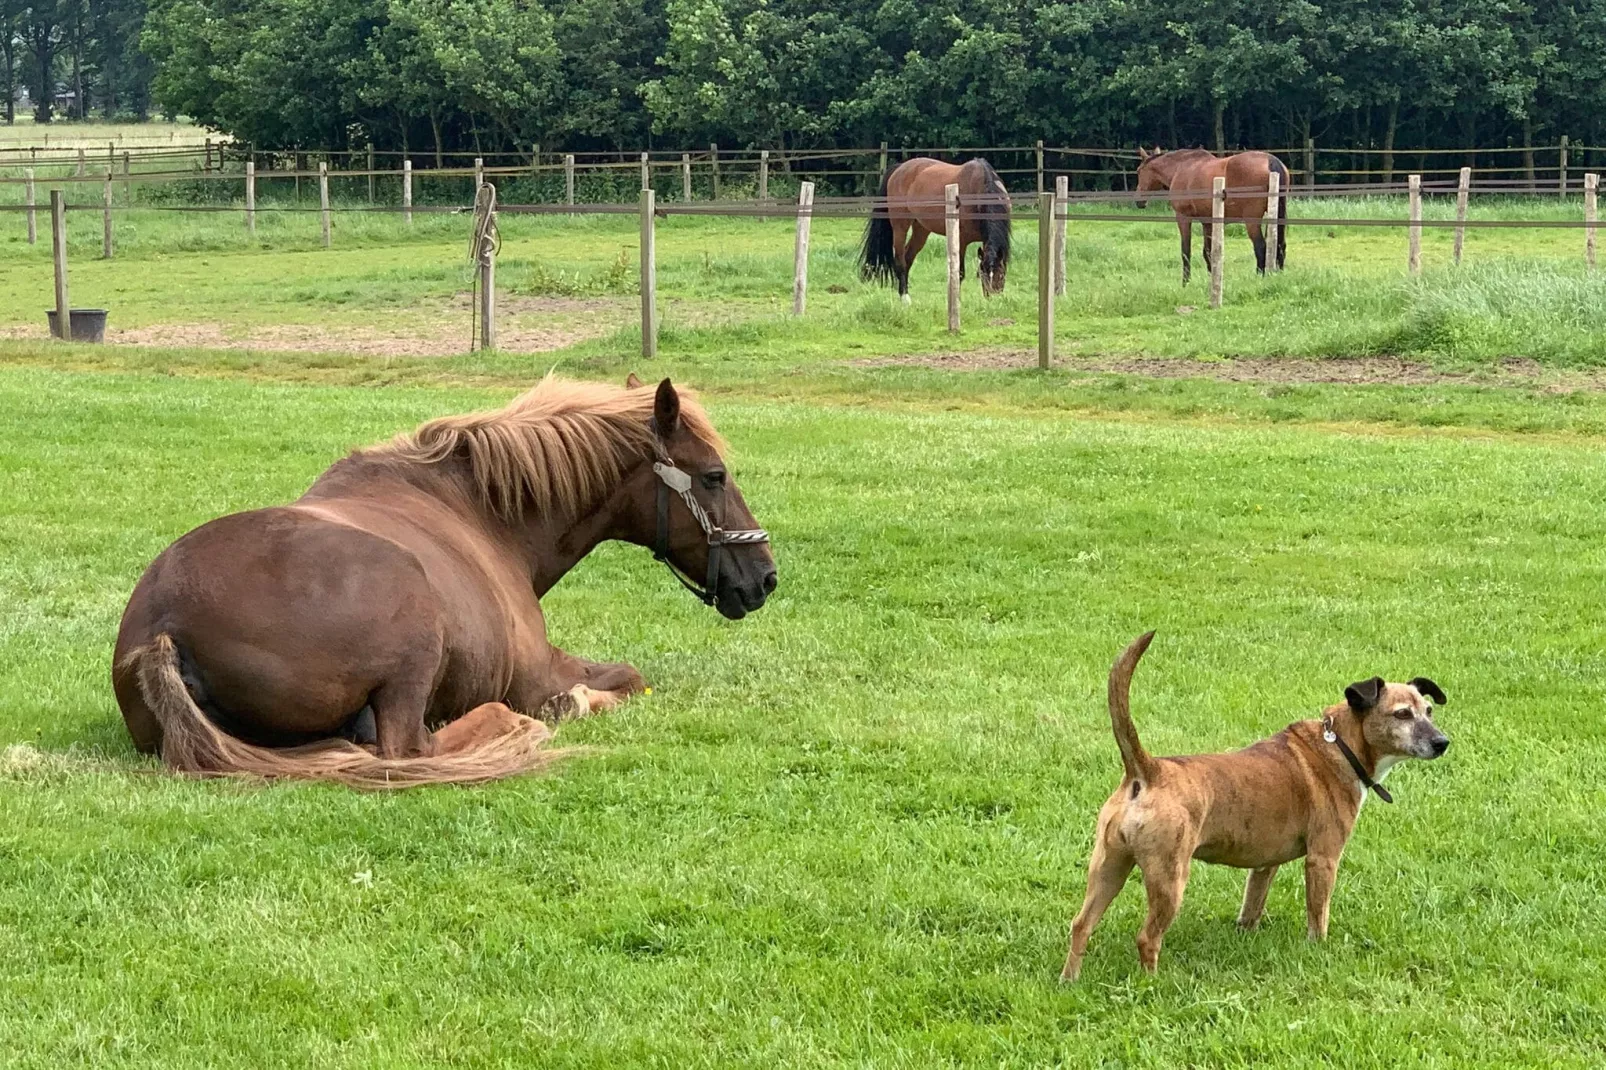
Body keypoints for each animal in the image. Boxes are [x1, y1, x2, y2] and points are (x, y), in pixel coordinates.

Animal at [110, 374, 774, 784]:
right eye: (715, 476)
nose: (765, 577)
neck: (483, 514)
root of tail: (166, 624)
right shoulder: (538, 670)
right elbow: (629, 678)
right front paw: (578, 700)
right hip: (414, 648)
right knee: (412, 746)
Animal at [860, 157, 1008, 300]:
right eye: (983, 274)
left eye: (1001, 275)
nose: (993, 299)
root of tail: (899, 168)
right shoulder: (961, 241)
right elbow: (959, 273)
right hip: (900, 227)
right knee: (900, 260)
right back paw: (905, 298)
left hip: (921, 230)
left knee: (908, 258)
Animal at [1059, 629, 1451, 976]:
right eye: (1402, 714)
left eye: (1429, 710)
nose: (1442, 742)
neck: (1339, 745)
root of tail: (1148, 770)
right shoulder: (1323, 859)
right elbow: (1318, 915)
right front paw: (1318, 949)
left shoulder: (1264, 865)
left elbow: (1251, 906)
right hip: (1168, 877)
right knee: (1147, 938)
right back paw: (1152, 983)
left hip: (1109, 866)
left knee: (1081, 925)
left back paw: (1070, 980)